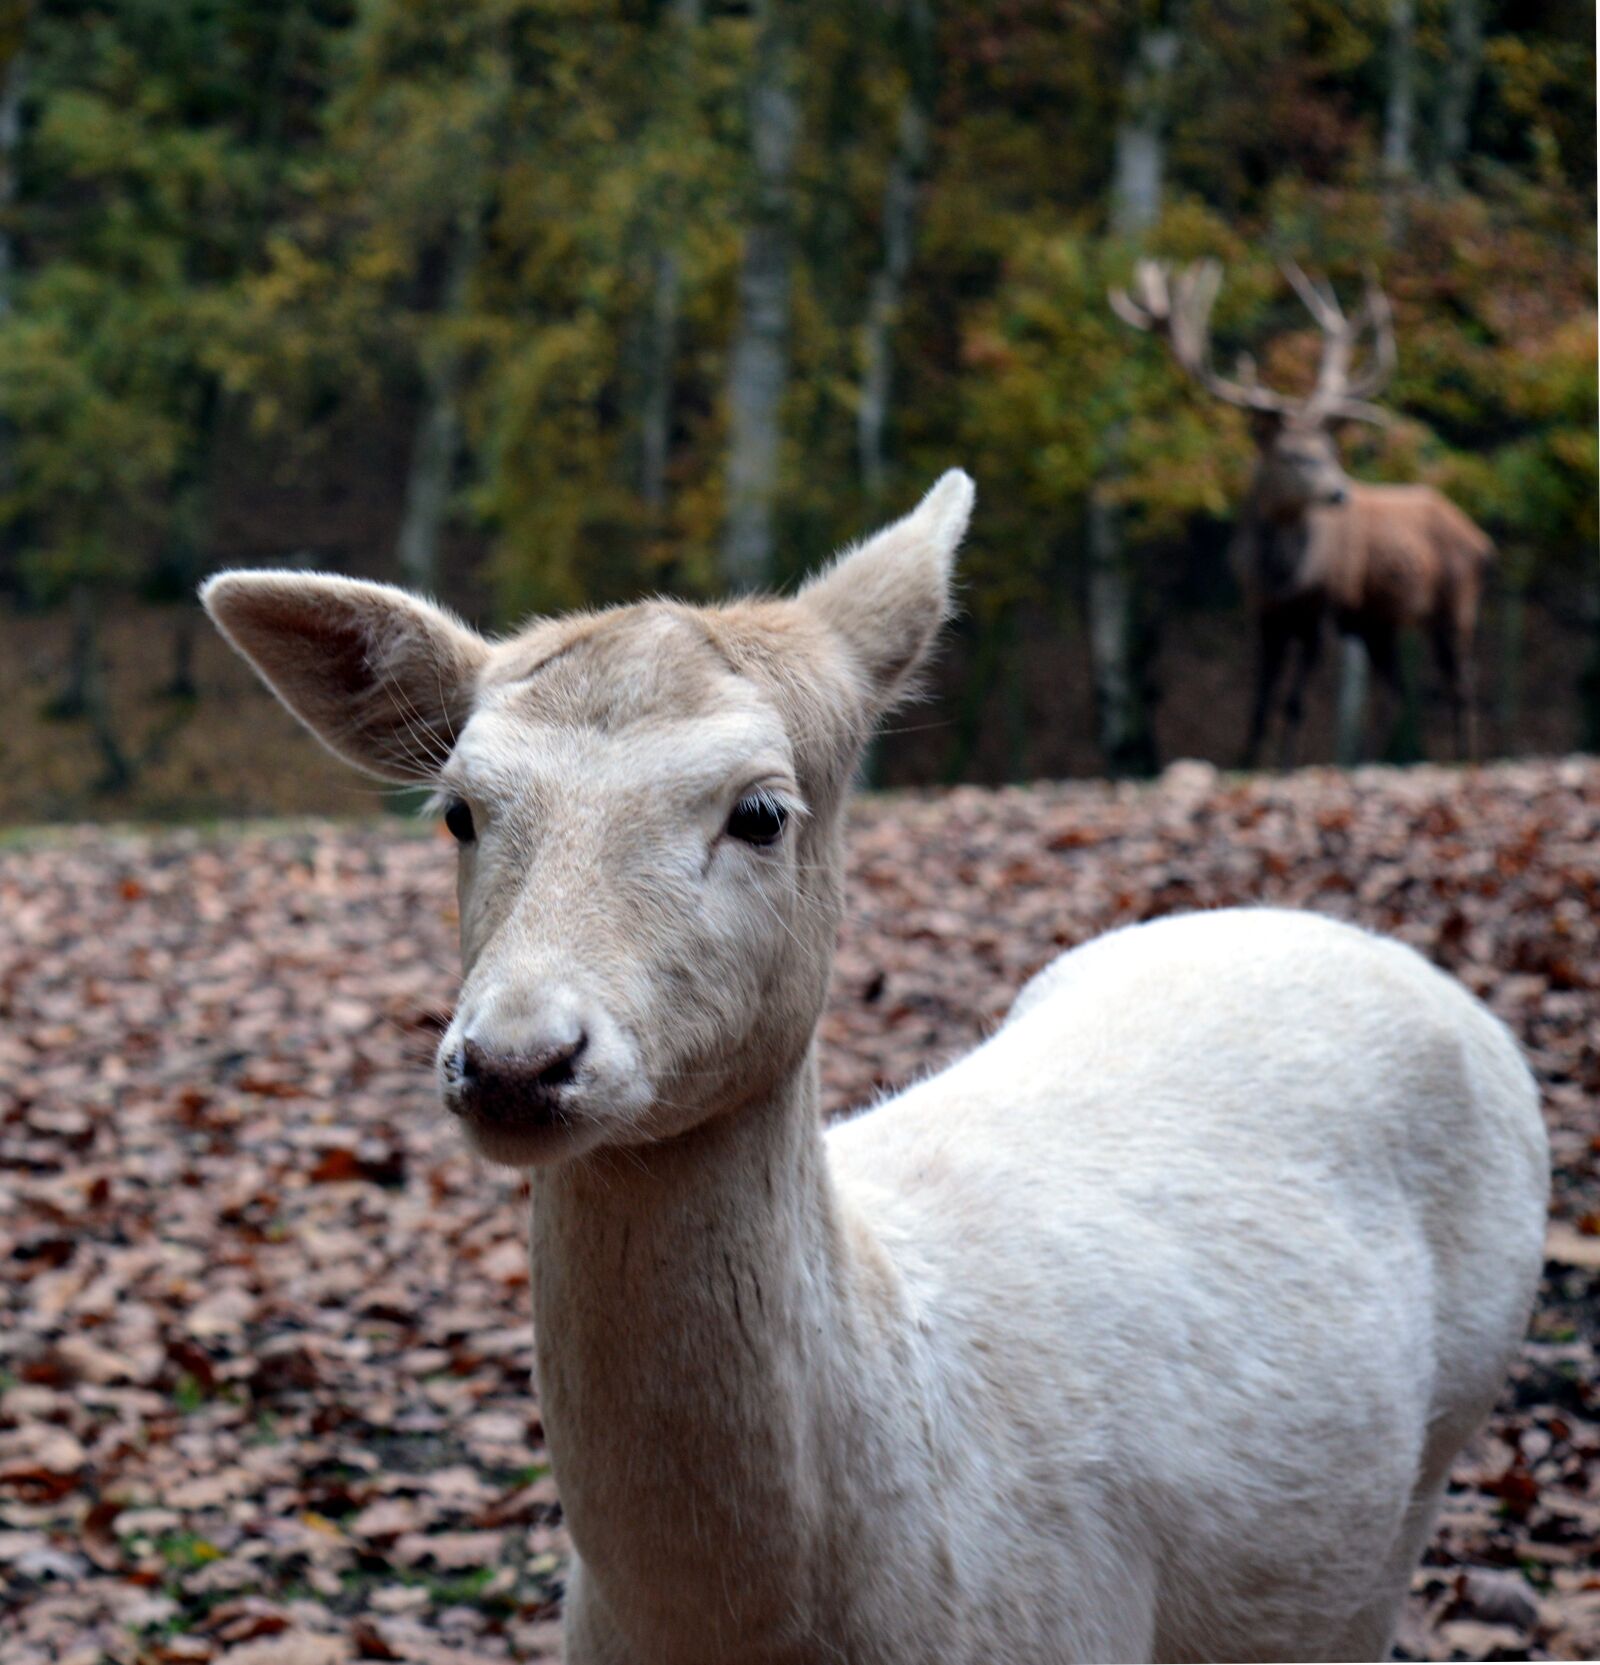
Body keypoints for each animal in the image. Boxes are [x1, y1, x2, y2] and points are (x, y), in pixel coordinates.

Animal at [1111, 259, 1496, 768]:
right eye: (1292, 455)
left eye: (1329, 450)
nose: (1339, 493)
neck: (1283, 574)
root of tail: (1481, 539)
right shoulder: (1263, 610)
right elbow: (1260, 698)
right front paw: (1249, 760)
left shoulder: (1322, 606)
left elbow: (1295, 701)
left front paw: (1285, 763)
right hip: (1380, 622)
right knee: (1396, 691)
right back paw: (1379, 758)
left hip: (1457, 600)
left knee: (1461, 683)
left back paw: (1462, 758)